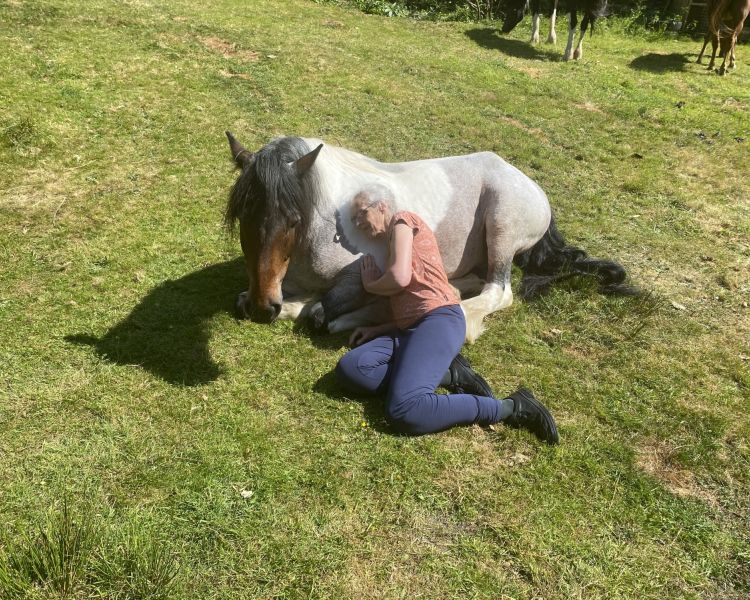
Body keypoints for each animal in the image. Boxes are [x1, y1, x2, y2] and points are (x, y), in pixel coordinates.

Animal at [224, 132, 634, 342]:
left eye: (294, 219)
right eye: (242, 216)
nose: (263, 308)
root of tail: (529, 184)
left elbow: (323, 310)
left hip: (501, 224)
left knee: (498, 291)